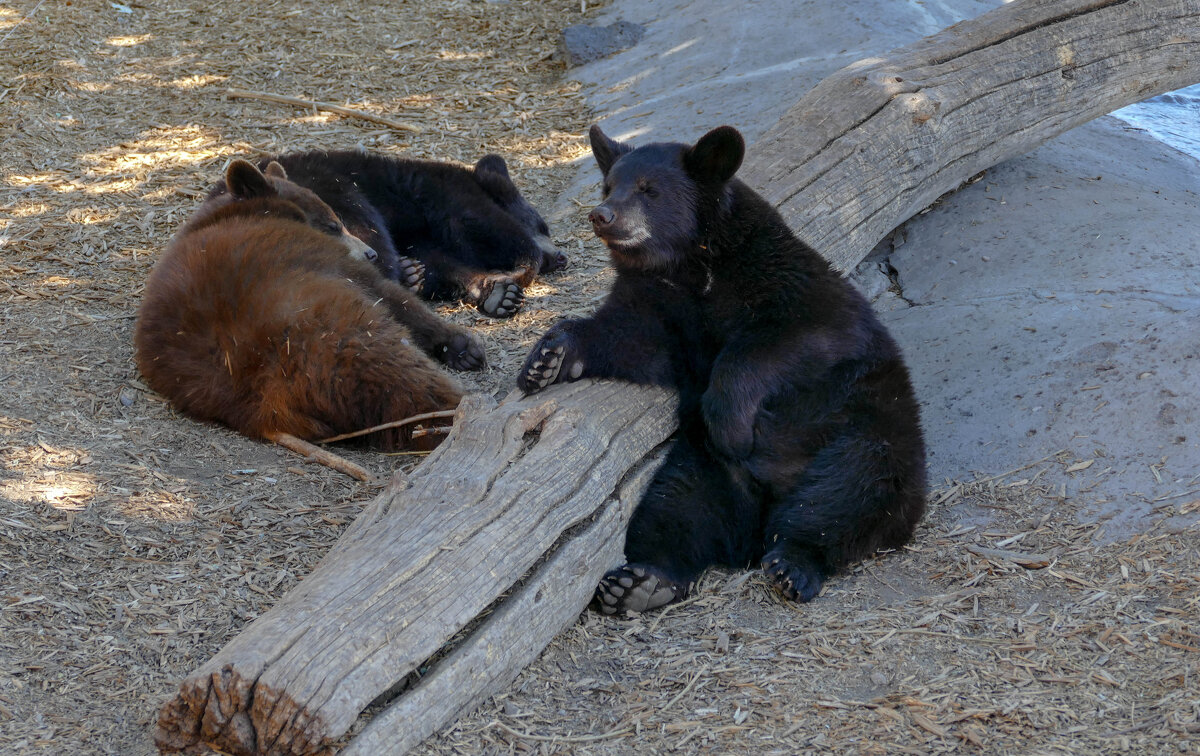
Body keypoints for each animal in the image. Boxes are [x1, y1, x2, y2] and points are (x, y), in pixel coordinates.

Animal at [136, 159, 482, 451]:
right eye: (333, 224)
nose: (370, 253)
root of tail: (269, 401)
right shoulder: (316, 254)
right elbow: (390, 294)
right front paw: (461, 345)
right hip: (338, 332)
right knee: (404, 382)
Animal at [225, 151, 571, 319]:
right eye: (543, 225)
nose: (562, 256)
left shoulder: (421, 232)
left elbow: (441, 261)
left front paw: (497, 291)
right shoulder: (439, 191)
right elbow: (481, 222)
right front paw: (521, 267)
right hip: (339, 191)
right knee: (369, 233)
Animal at [518, 123, 926, 609]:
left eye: (648, 190)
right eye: (607, 186)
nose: (602, 215)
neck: (689, 264)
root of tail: (757, 521)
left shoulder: (785, 279)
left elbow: (794, 337)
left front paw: (731, 426)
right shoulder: (661, 303)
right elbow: (631, 339)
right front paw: (548, 359)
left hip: (872, 436)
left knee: (849, 494)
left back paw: (794, 563)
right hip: (703, 469)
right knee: (676, 511)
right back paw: (642, 583)